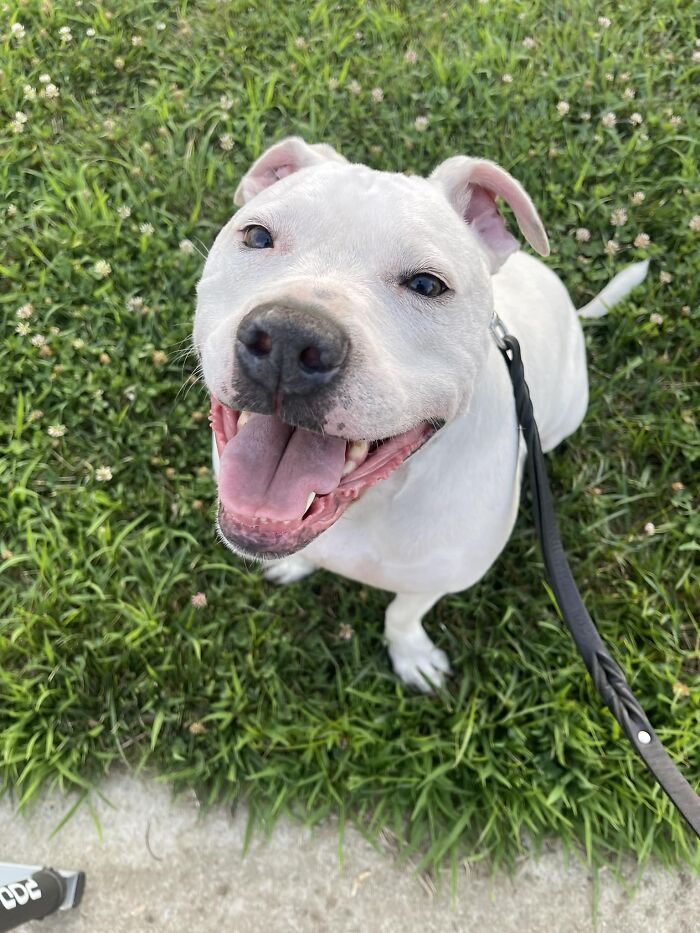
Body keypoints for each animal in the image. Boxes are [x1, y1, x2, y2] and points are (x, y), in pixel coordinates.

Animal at [193, 137, 652, 692]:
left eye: (428, 286)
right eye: (257, 236)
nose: (288, 337)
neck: (372, 501)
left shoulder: (441, 577)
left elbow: (402, 614)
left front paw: (410, 655)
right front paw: (298, 566)